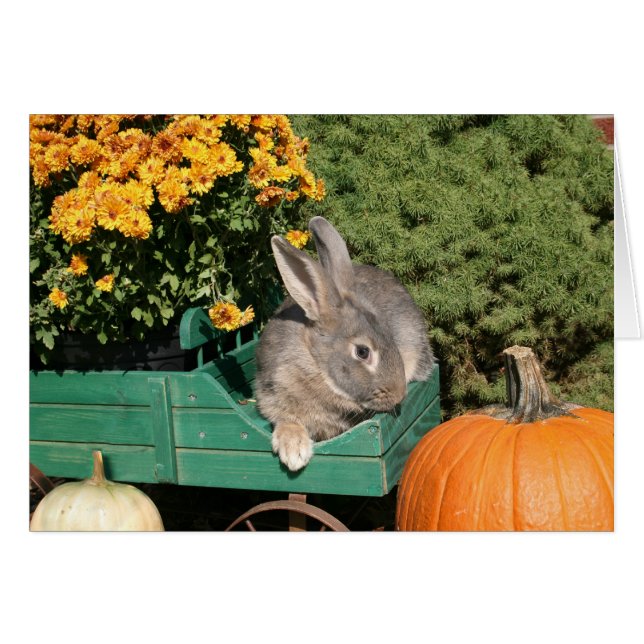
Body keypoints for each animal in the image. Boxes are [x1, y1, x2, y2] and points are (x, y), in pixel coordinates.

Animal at [255, 216, 434, 471]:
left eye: (389, 335)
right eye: (362, 352)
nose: (400, 394)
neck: (315, 364)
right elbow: (286, 420)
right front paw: (294, 453)